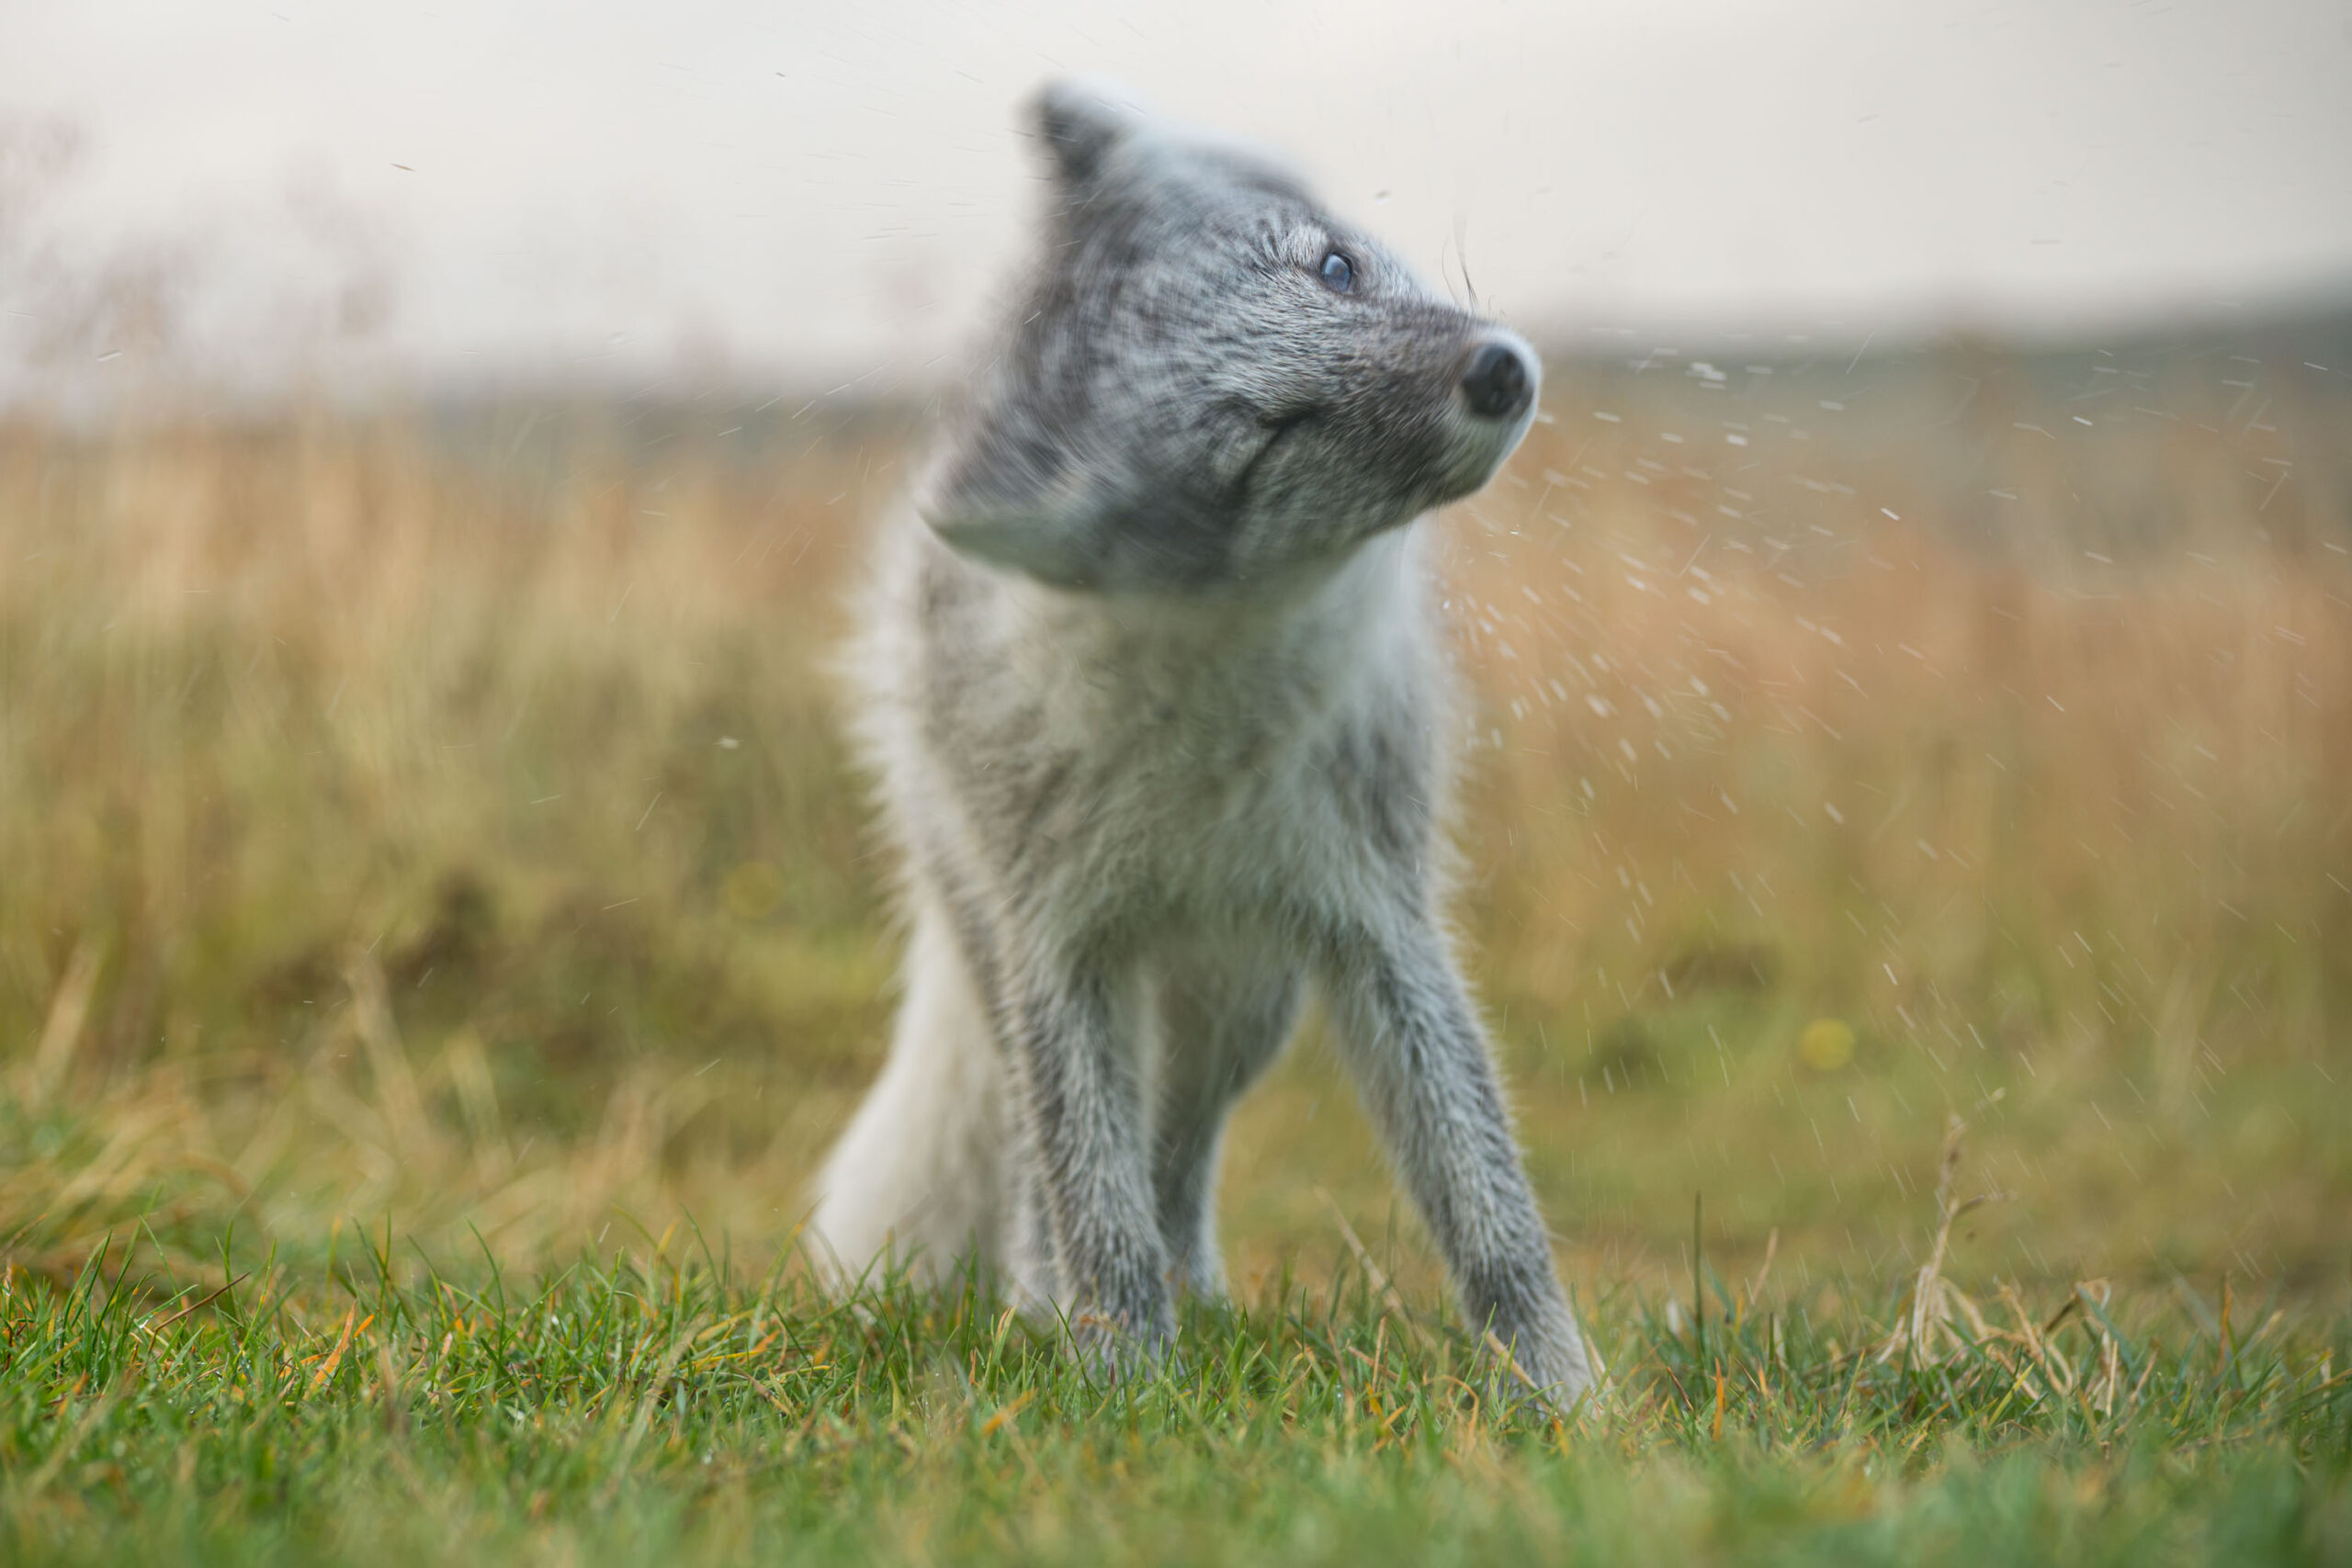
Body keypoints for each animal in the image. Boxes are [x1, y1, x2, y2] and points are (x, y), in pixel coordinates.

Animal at [810, 80, 1595, 1406]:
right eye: (1273, 435)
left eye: (1336, 268)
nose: (1497, 372)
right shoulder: (1059, 947)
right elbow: (1092, 1204)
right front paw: (1121, 1386)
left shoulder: (1380, 918)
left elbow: (1488, 1207)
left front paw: (1564, 1397)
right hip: (1008, 947)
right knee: (1049, 1170)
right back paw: (1042, 1304)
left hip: (1250, 1001)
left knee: (1180, 1153)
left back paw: (1206, 1298)